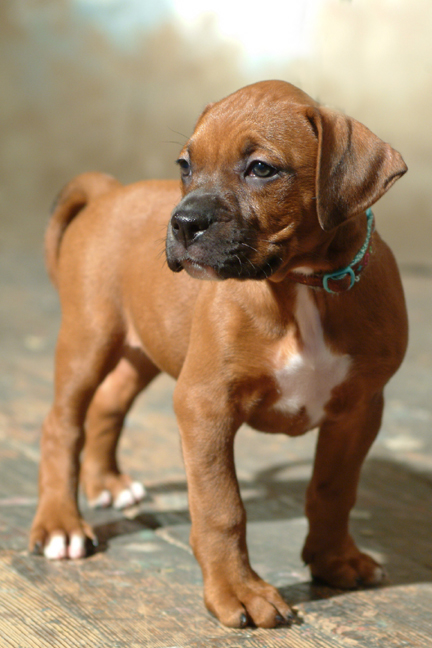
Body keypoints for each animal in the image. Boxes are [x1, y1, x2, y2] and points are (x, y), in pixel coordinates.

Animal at [30, 81, 408, 628]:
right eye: (185, 166)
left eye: (261, 169)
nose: (182, 223)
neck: (300, 287)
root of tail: (110, 192)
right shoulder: (205, 406)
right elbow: (221, 507)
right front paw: (239, 591)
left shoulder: (358, 411)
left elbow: (334, 489)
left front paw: (334, 559)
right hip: (89, 336)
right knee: (62, 423)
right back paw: (61, 524)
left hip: (145, 346)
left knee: (108, 404)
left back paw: (109, 484)